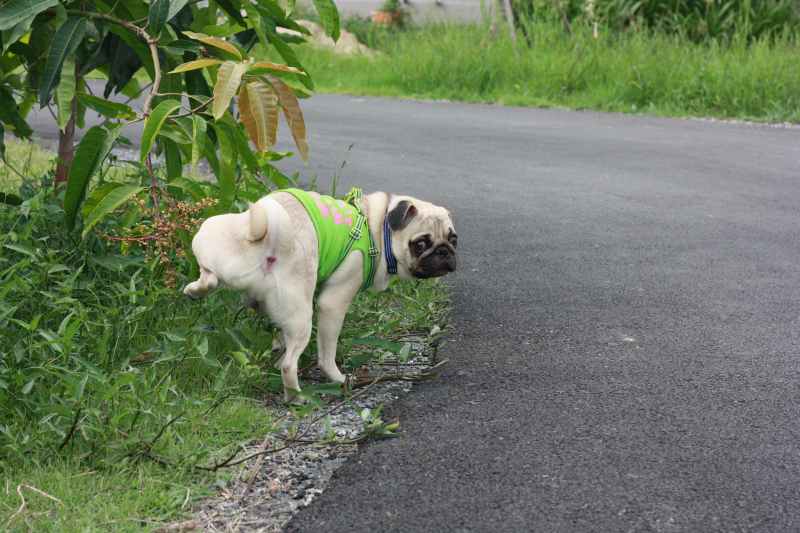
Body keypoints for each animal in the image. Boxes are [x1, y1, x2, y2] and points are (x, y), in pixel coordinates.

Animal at [183, 189, 456, 402]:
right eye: (420, 244)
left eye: (453, 239)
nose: (444, 251)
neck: (376, 229)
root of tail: (263, 237)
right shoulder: (334, 302)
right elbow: (326, 352)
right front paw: (336, 376)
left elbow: (278, 334)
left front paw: (276, 347)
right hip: (303, 315)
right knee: (291, 364)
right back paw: (299, 395)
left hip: (212, 235)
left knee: (210, 276)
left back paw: (195, 290)